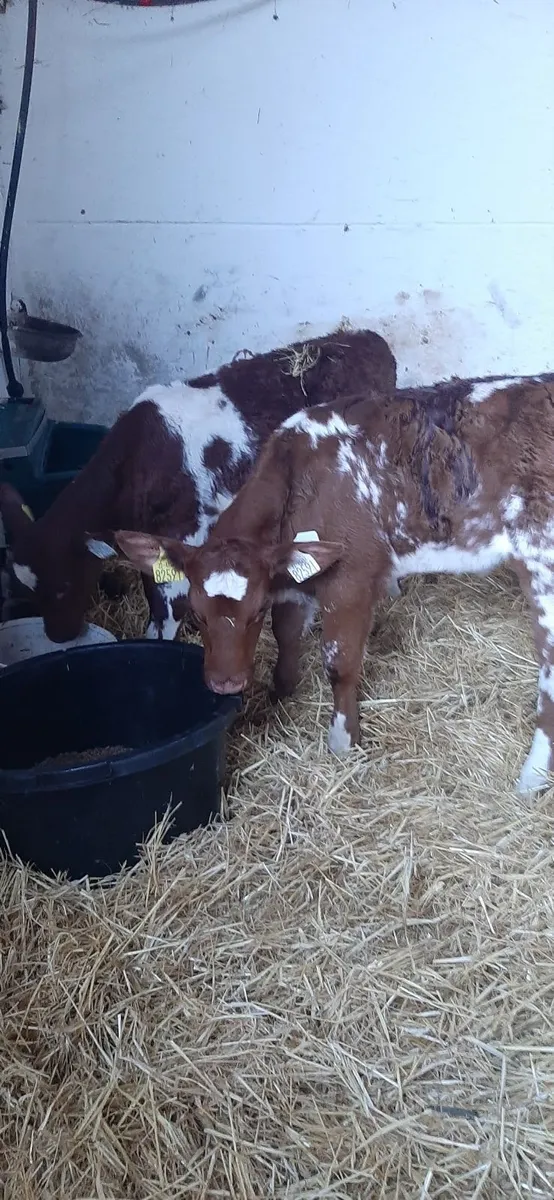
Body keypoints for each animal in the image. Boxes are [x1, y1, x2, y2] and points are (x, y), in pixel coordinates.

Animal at [0, 328, 396, 643]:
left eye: (64, 586)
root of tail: (369, 338)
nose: (58, 636)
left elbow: (166, 604)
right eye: (29, 594)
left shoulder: (185, 526)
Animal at [114, 371, 554, 796]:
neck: (298, 475)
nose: (226, 683)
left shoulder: (351, 576)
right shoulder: (293, 576)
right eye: (198, 615)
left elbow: (339, 662)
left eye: (254, 611)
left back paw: (530, 781)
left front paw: (343, 740)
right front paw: (279, 696)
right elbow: (287, 635)